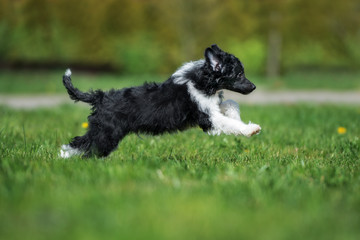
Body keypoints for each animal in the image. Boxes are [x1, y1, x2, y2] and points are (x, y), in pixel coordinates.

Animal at [60, 44, 260, 158]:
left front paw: (238, 117)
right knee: (86, 147)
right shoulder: (208, 119)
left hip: (102, 131)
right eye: (239, 74)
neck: (202, 81)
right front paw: (251, 129)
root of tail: (100, 97)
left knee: (81, 143)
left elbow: (231, 104)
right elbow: (229, 123)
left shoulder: (211, 108)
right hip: (107, 134)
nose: (254, 87)